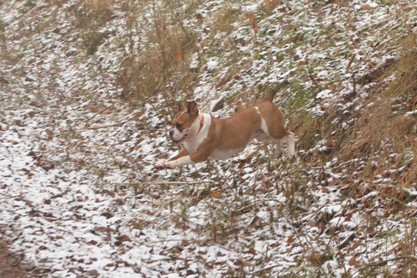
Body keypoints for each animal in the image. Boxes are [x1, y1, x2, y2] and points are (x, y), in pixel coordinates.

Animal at [154, 93, 294, 168]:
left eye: (179, 125)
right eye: (172, 124)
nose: (170, 132)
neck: (198, 130)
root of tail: (267, 100)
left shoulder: (199, 155)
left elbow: (181, 160)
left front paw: (170, 165)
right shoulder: (187, 150)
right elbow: (174, 156)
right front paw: (162, 163)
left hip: (273, 129)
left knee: (290, 135)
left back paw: (291, 154)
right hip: (263, 135)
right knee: (277, 140)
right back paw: (278, 153)